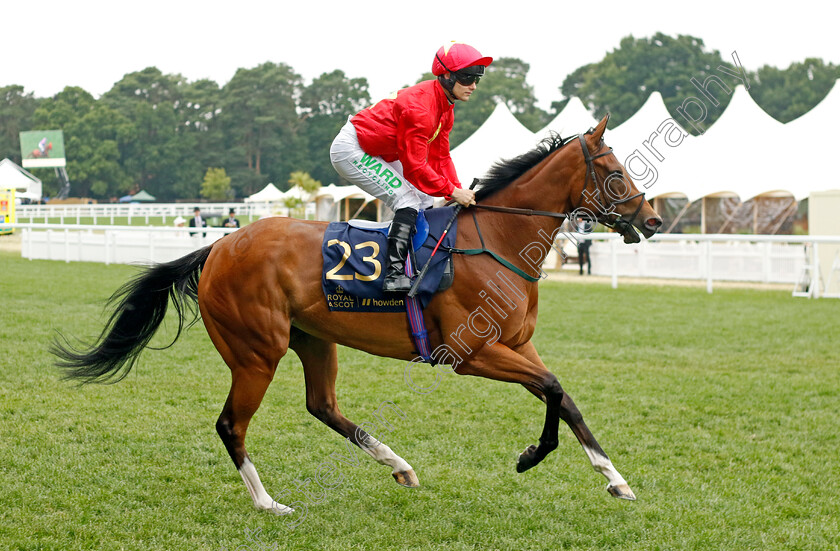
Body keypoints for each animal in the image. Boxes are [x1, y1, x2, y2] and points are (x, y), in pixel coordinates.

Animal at [54, 115, 664, 512]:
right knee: (232, 424)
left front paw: (616, 480)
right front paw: (531, 456)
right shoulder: (471, 353)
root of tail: (220, 245)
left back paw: (399, 465)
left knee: (322, 406)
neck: (496, 240)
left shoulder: (517, 346)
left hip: (313, 339)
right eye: (613, 171)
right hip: (257, 352)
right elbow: (555, 390)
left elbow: (564, 397)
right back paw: (268, 502)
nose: (653, 219)